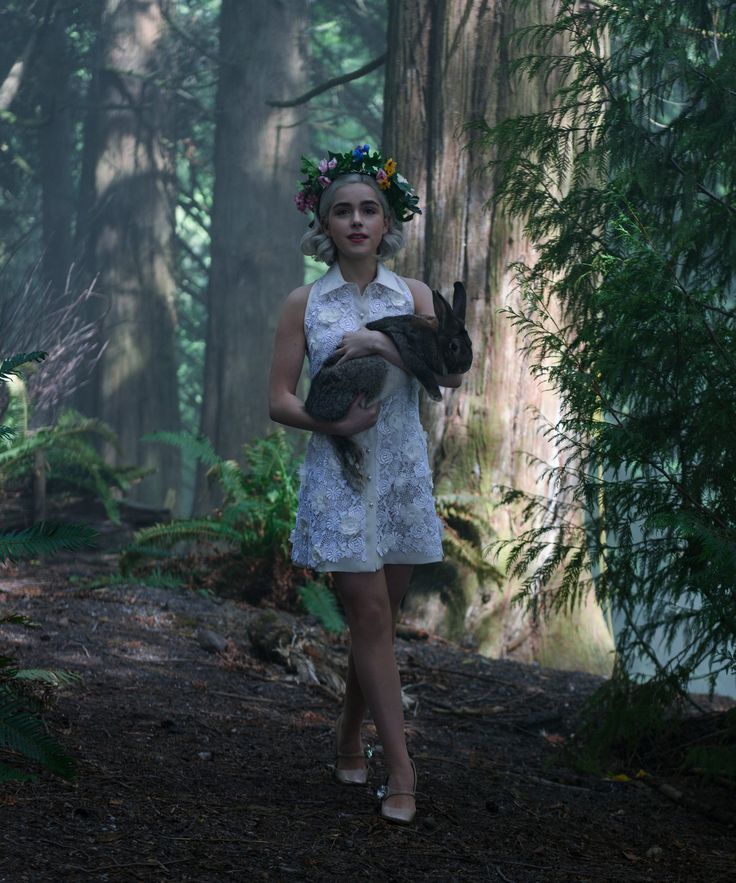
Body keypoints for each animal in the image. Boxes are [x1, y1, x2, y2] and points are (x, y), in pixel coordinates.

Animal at [304, 282, 472, 490]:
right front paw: (436, 395)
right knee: (337, 430)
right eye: (454, 347)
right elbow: (420, 367)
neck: (435, 337)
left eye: (470, 343)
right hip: (373, 370)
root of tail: (310, 405)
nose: (466, 366)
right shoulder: (405, 342)